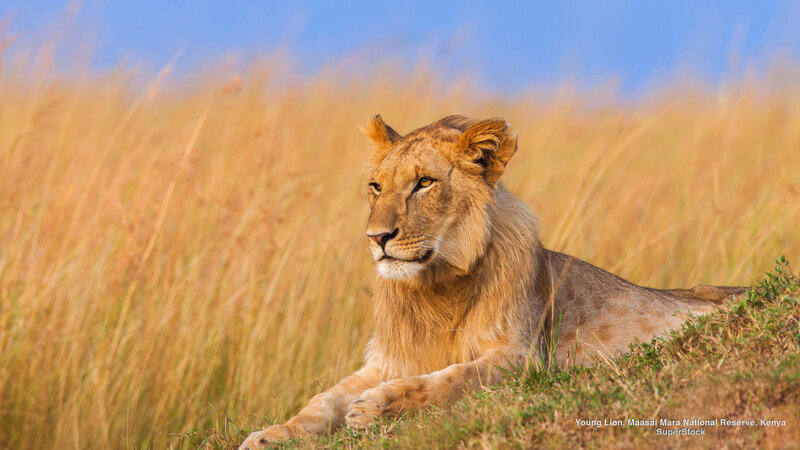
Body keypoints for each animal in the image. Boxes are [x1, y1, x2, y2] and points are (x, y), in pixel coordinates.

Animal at [238, 115, 746, 449]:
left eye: (424, 183)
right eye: (376, 186)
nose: (376, 238)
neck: (435, 287)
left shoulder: (525, 358)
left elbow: (455, 378)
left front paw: (376, 407)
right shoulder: (387, 360)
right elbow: (322, 400)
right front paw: (271, 434)